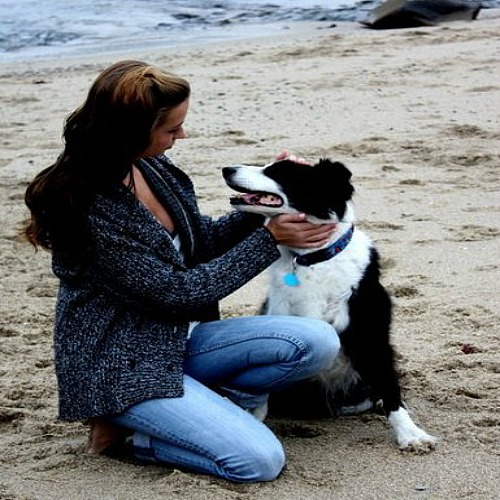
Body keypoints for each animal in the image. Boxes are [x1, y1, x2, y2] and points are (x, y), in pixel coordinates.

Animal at [223, 158, 438, 452]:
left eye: (277, 171)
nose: (226, 169)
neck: (311, 259)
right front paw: (254, 418)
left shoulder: (371, 334)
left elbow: (390, 387)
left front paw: (411, 434)